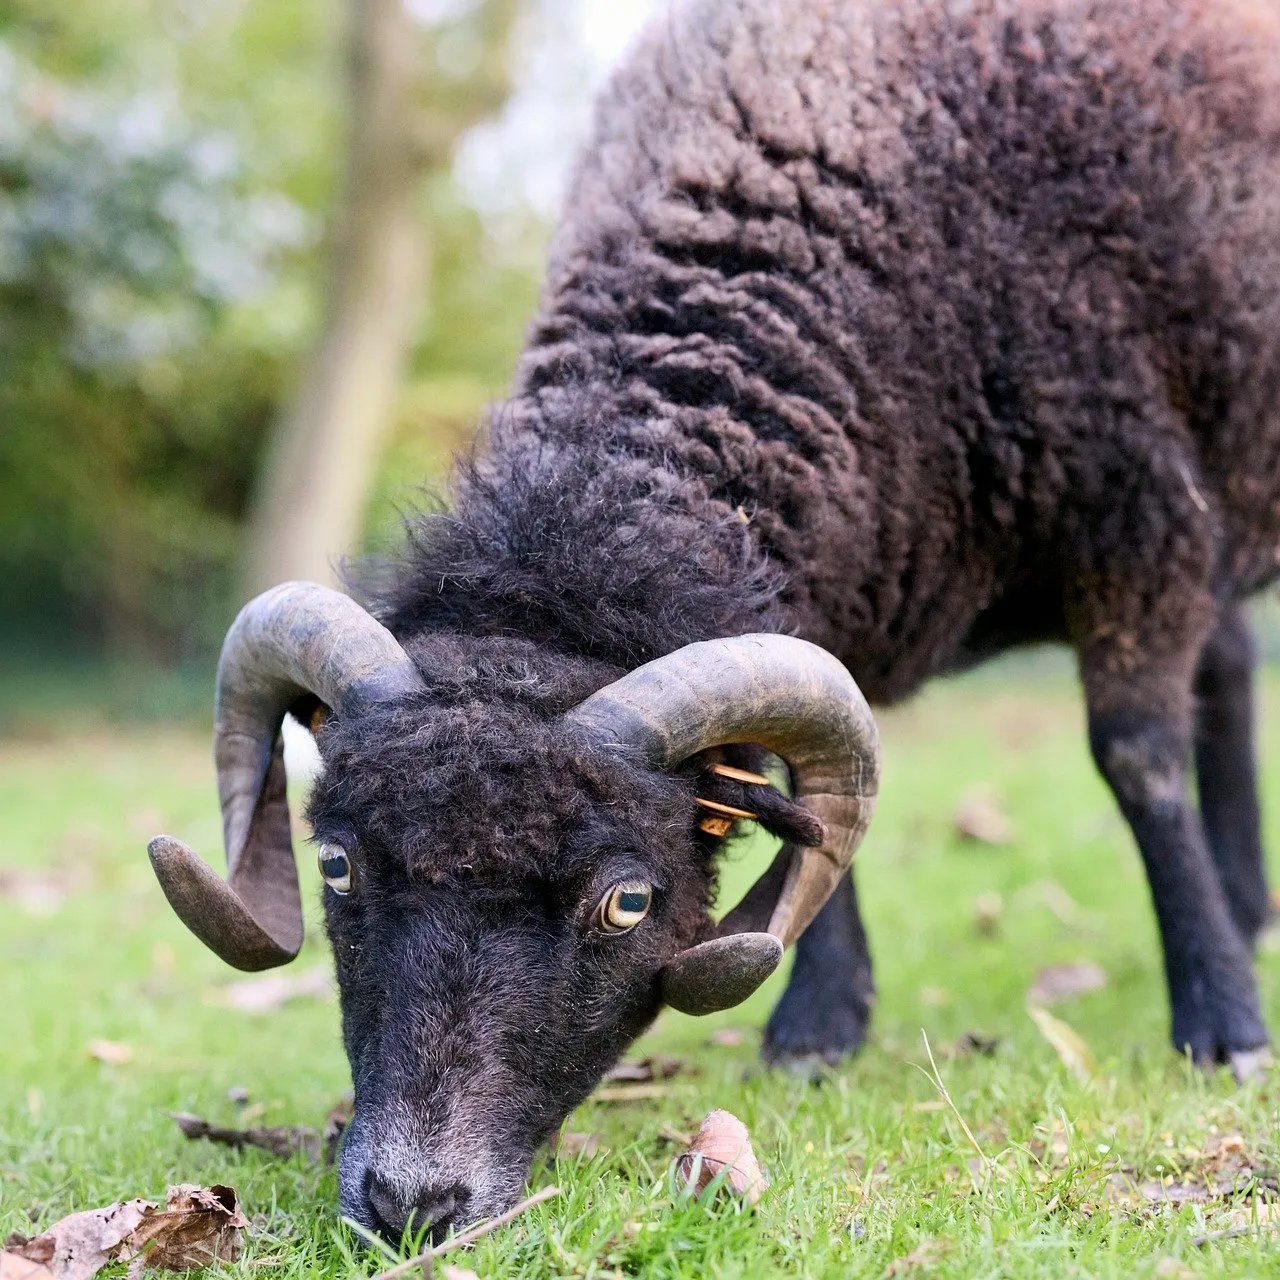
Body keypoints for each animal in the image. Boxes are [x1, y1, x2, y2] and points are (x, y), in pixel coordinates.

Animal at [148, 0, 1280, 1240]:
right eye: (338, 863)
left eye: (627, 900)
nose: (412, 1202)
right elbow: (806, 805)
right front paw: (817, 1030)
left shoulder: (1137, 527)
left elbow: (1134, 757)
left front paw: (1221, 1026)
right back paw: (1248, 905)